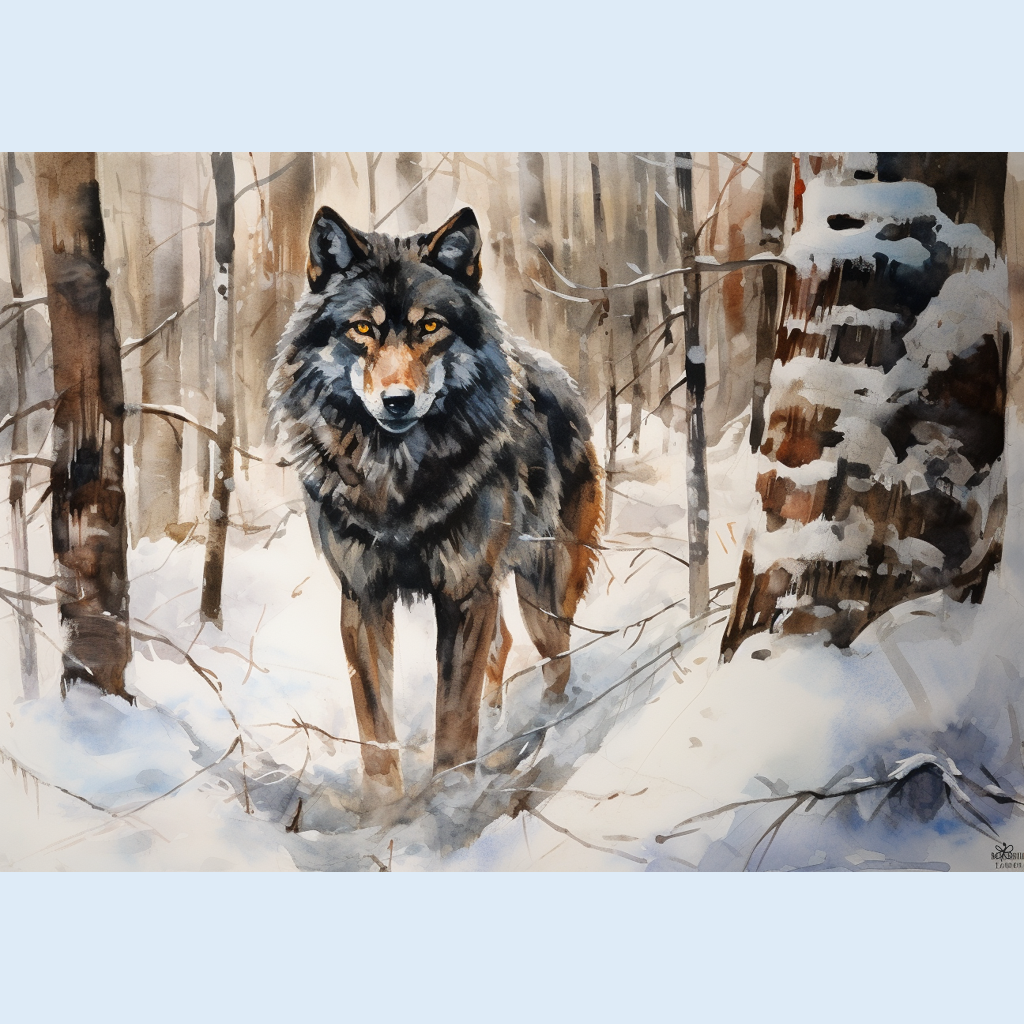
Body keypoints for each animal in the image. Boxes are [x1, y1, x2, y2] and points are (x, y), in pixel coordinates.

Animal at [270, 206, 602, 793]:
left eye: (430, 326)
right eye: (362, 328)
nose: (397, 401)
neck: (395, 478)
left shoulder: (465, 592)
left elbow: (453, 716)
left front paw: (448, 796)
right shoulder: (363, 597)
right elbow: (374, 724)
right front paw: (385, 803)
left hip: (541, 592)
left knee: (558, 664)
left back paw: (537, 739)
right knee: (506, 647)